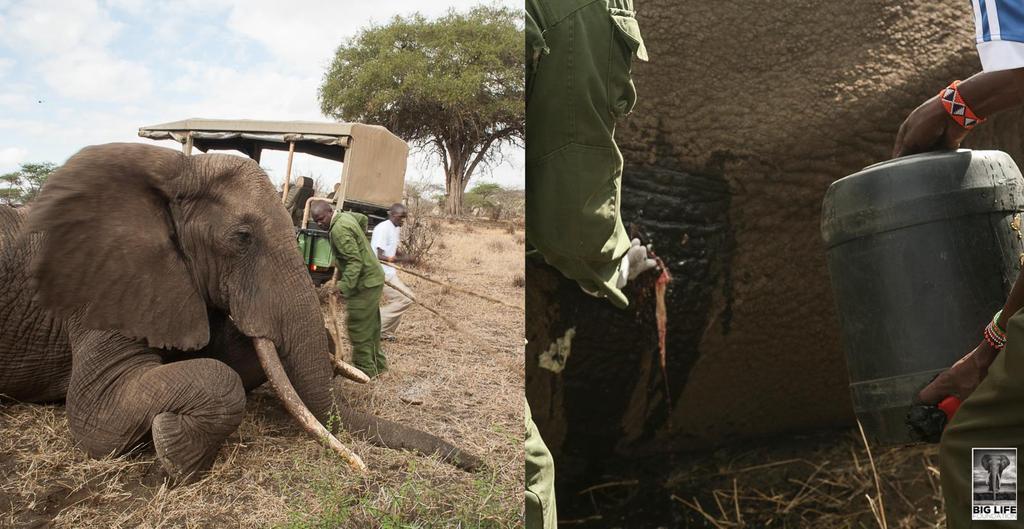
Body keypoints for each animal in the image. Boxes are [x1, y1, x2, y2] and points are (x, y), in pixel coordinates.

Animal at [0, 143, 479, 482]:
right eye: (243, 237)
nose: (479, 465)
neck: (175, 168)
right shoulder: (101, 285)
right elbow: (97, 417)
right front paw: (175, 452)